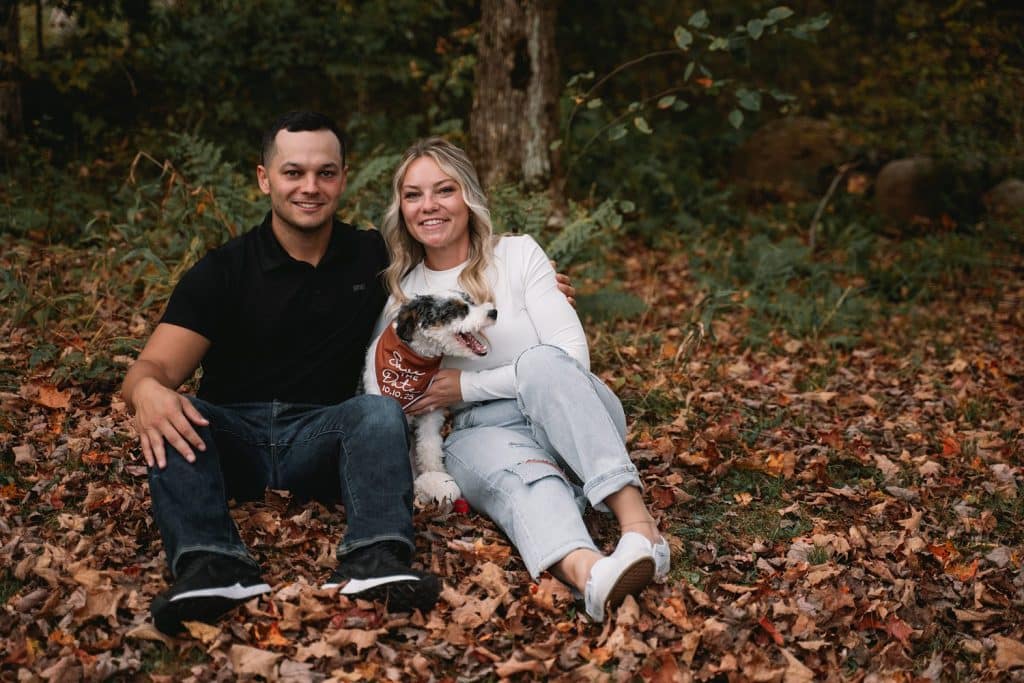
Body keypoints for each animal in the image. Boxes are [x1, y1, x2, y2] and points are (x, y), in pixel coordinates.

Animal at [364, 290, 499, 505]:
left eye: (470, 302)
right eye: (454, 310)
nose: (493, 312)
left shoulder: (430, 414)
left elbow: (430, 447)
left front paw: (436, 477)